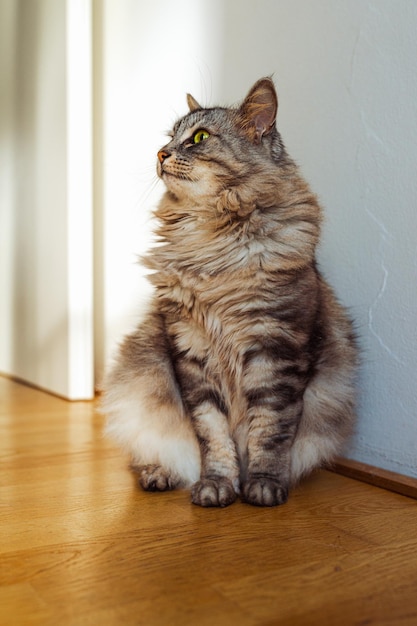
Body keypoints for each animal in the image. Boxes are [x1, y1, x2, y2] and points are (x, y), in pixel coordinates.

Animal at [101, 79, 358, 508]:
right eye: (170, 136)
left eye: (199, 138)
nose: (161, 153)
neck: (212, 241)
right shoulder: (191, 348)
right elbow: (213, 434)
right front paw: (218, 485)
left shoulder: (276, 347)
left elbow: (269, 430)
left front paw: (263, 485)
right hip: (136, 387)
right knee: (148, 452)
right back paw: (158, 474)